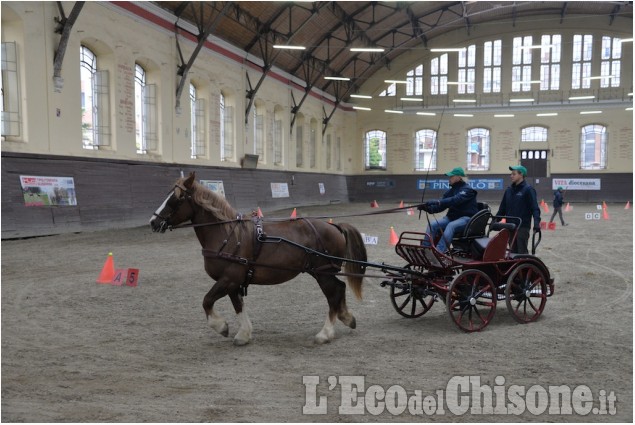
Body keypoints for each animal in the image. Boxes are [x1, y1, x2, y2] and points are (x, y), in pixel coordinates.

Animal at [150, 172, 368, 344]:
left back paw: (325, 333)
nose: (153, 222)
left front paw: (221, 326)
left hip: (323, 273)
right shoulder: (233, 282)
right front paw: (244, 334)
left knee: (334, 294)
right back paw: (346, 317)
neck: (227, 235)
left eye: (176, 199)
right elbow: (238, 305)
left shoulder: (229, 279)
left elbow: (207, 301)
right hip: (323, 272)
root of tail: (334, 226)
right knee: (340, 289)